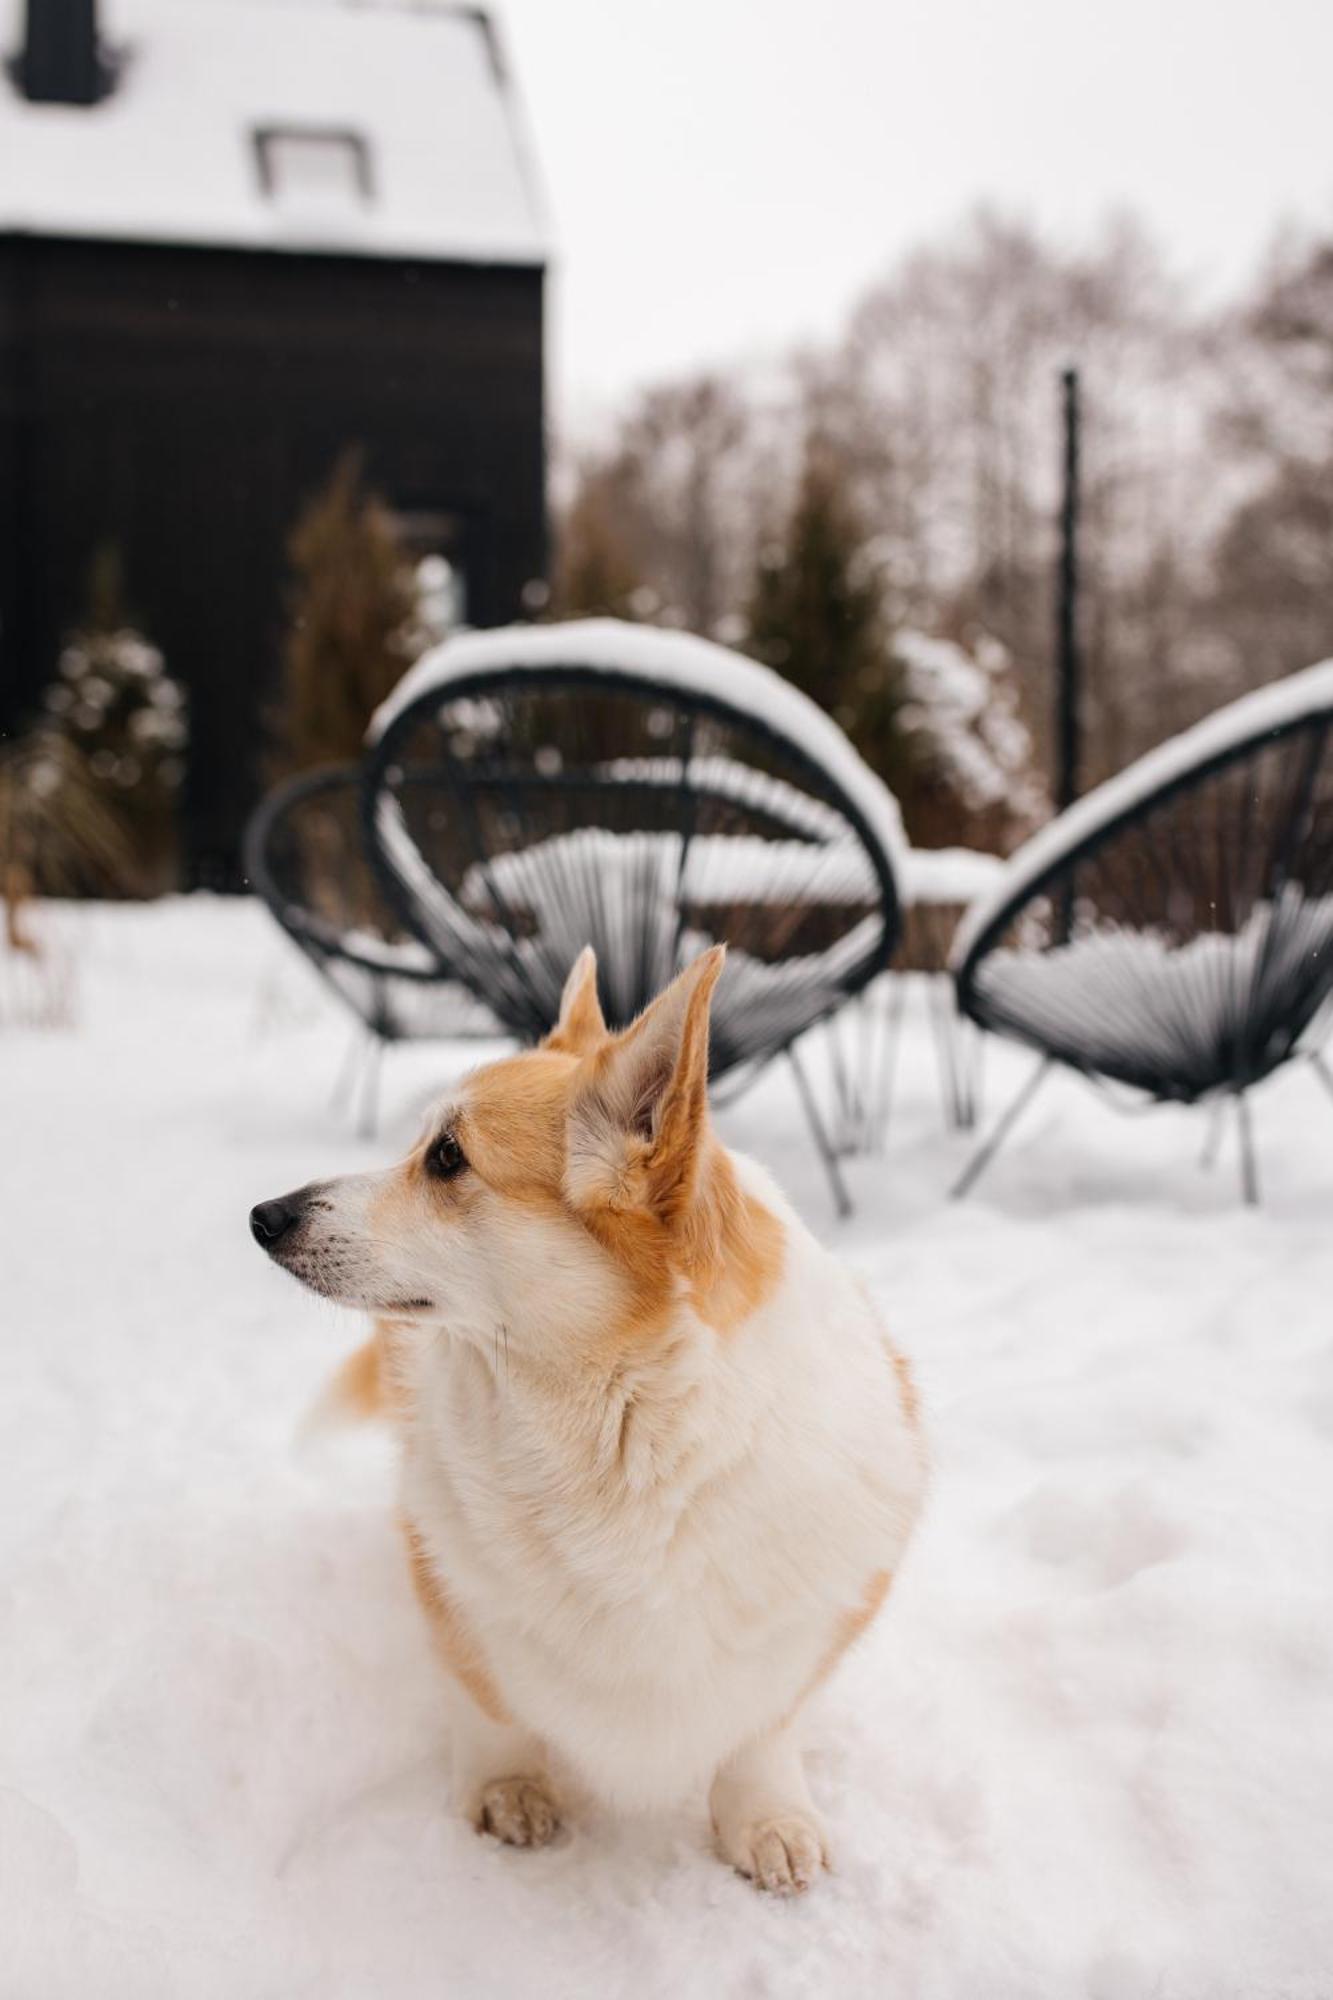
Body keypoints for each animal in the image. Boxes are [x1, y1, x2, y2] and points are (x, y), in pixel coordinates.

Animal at [254, 948, 928, 1888]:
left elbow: (763, 1727)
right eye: (420, 1146)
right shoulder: (452, 1585)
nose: (263, 1216)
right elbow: (487, 1701)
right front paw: (507, 1792)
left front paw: (765, 1820)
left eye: (448, 1157)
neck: (619, 1440)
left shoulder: (810, 1628)